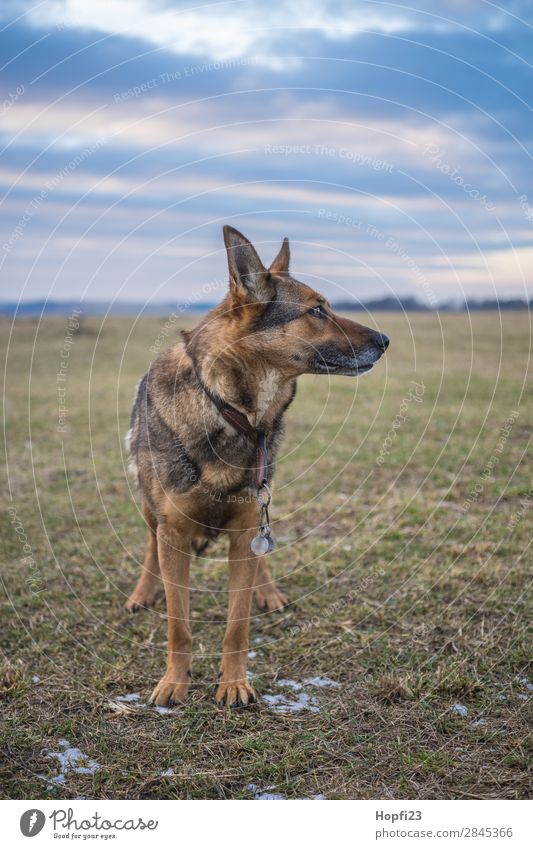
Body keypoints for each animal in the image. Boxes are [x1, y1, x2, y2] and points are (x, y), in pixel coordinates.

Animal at [127, 227, 388, 708]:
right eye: (317, 310)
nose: (385, 340)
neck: (232, 411)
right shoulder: (173, 530)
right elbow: (178, 623)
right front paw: (173, 683)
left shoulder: (248, 522)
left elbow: (237, 623)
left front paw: (233, 684)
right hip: (150, 508)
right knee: (150, 547)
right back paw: (142, 593)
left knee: (258, 557)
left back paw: (267, 592)